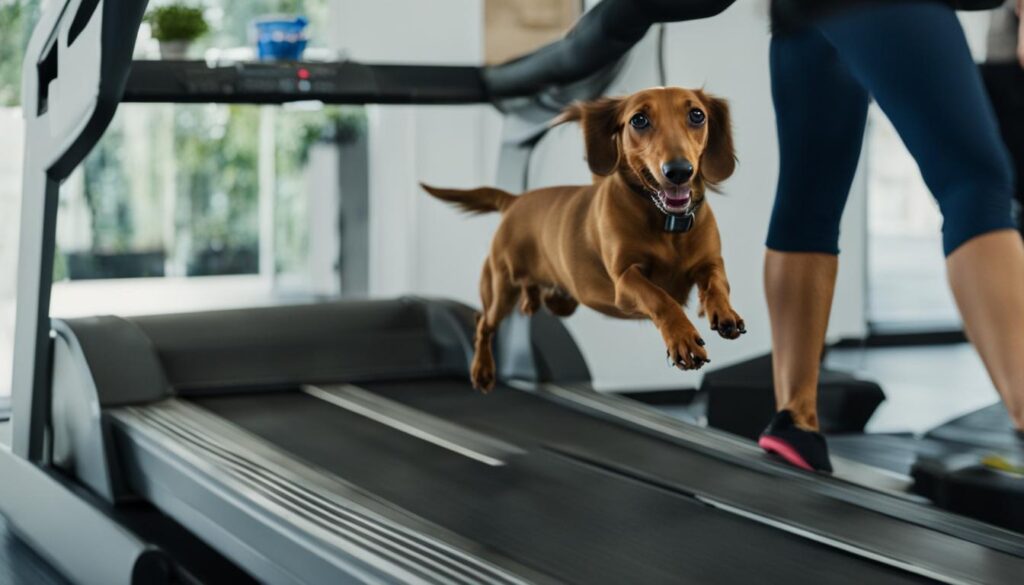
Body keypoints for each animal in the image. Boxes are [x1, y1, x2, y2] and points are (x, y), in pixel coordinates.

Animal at [421, 87, 745, 391]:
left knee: (545, 299)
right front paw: (683, 339)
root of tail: (515, 201)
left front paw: (723, 312)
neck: (668, 223)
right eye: (639, 120)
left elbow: (716, 284)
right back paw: (482, 370)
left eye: (697, 115)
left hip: (560, 297)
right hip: (500, 288)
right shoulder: (625, 280)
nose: (679, 171)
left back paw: (533, 299)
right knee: (483, 323)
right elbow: (661, 298)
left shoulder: (709, 263)